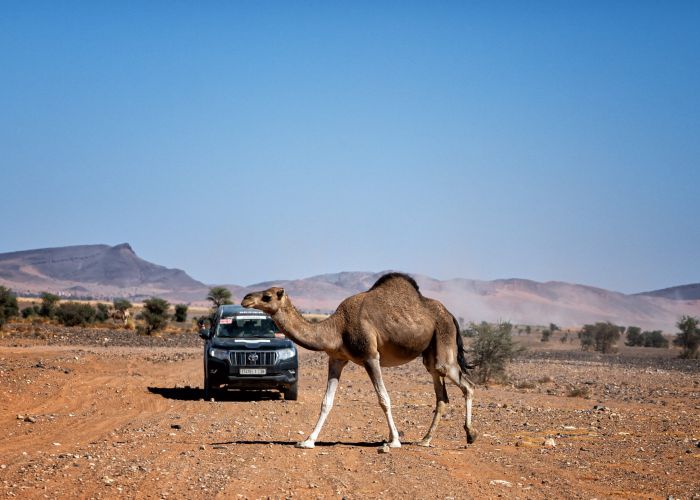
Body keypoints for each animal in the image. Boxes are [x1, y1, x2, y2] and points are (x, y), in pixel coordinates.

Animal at [241, 272, 477, 449]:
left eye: (267, 296)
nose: (246, 298)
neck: (337, 328)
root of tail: (451, 314)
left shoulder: (370, 356)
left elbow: (384, 399)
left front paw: (394, 441)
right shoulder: (336, 359)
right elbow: (326, 402)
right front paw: (307, 441)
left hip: (443, 339)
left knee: (467, 385)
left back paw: (471, 434)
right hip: (430, 354)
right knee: (441, 394)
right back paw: (426, 440)